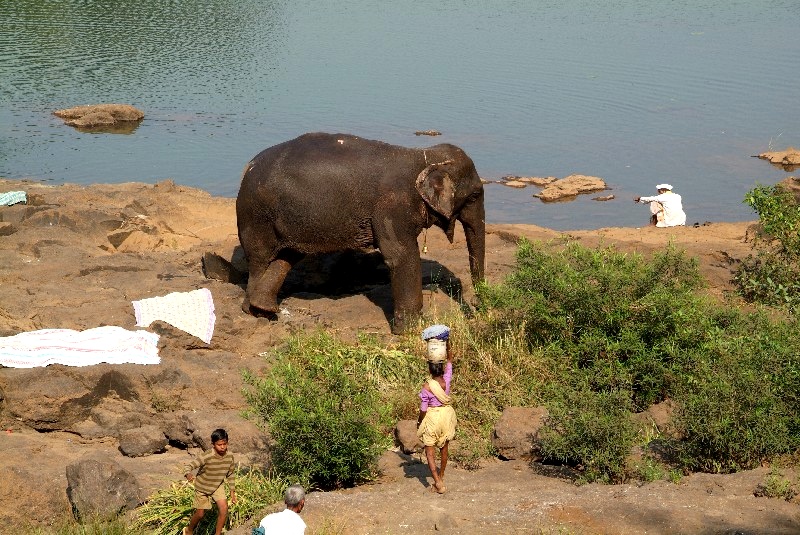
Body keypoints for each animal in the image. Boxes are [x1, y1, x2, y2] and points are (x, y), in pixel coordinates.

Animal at [235, 132, 486, 333]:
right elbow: (400, 256)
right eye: (475, 195)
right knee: (261, 259)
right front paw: (411, 331)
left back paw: (264, 308)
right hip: (256, 215)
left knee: (286, 257)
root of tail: (248, 166)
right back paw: (255, 312)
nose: (476, 306)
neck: (425, 156)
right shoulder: (391, 207)